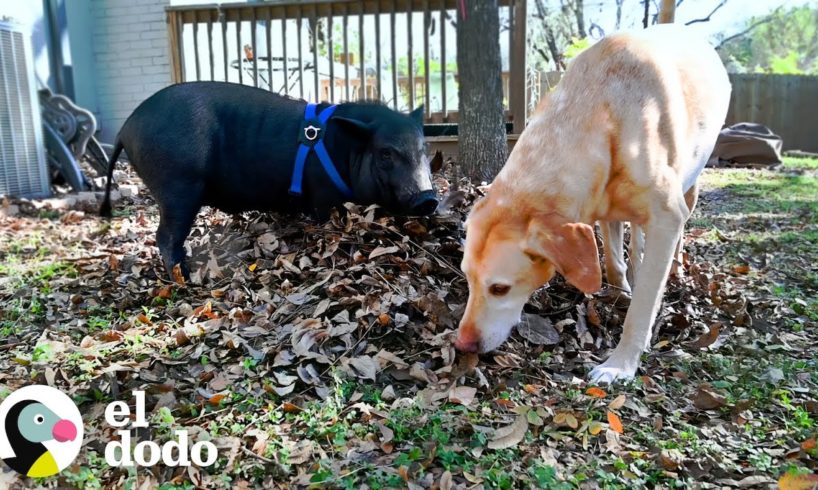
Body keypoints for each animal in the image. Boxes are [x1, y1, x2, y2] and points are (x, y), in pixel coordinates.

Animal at [100, 81, 440, 280]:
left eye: (424, 149)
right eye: (386, 153)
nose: (428, 198)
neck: (343, 150)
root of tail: (126, 129)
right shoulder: (321, 195)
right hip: (178, 185)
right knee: (165, 236)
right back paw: (186, 278)